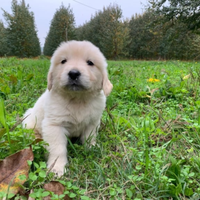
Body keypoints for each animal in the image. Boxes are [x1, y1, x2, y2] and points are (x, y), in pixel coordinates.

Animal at [22, 39, 112, 176]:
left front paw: (92, 148)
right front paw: (57, 167)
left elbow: (89, 137)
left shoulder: (92, 122)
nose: (73, 73)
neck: (77, 99)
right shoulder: (54, 126)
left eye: (90, 62)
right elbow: (58, 149)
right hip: (30, 126)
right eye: (63, 61)